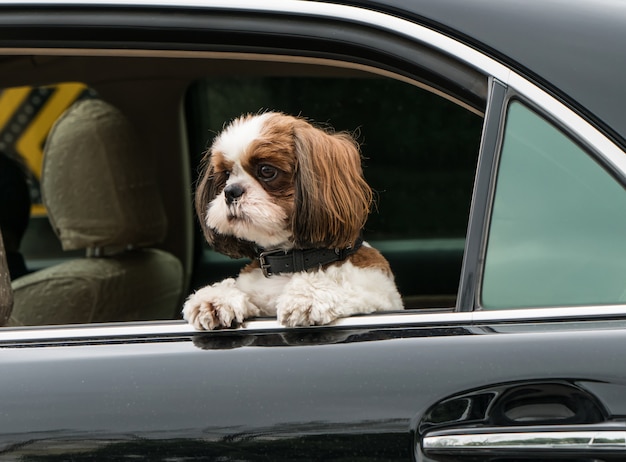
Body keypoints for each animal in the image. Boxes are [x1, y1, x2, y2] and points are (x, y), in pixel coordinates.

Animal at [183, 111, 402, 328]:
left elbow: (348, 287)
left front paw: (307, 295)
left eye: (266, 170)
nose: (231, 191)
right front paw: (217, 298)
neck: (289, 262)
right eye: (226, 174)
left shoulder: (380, 296)